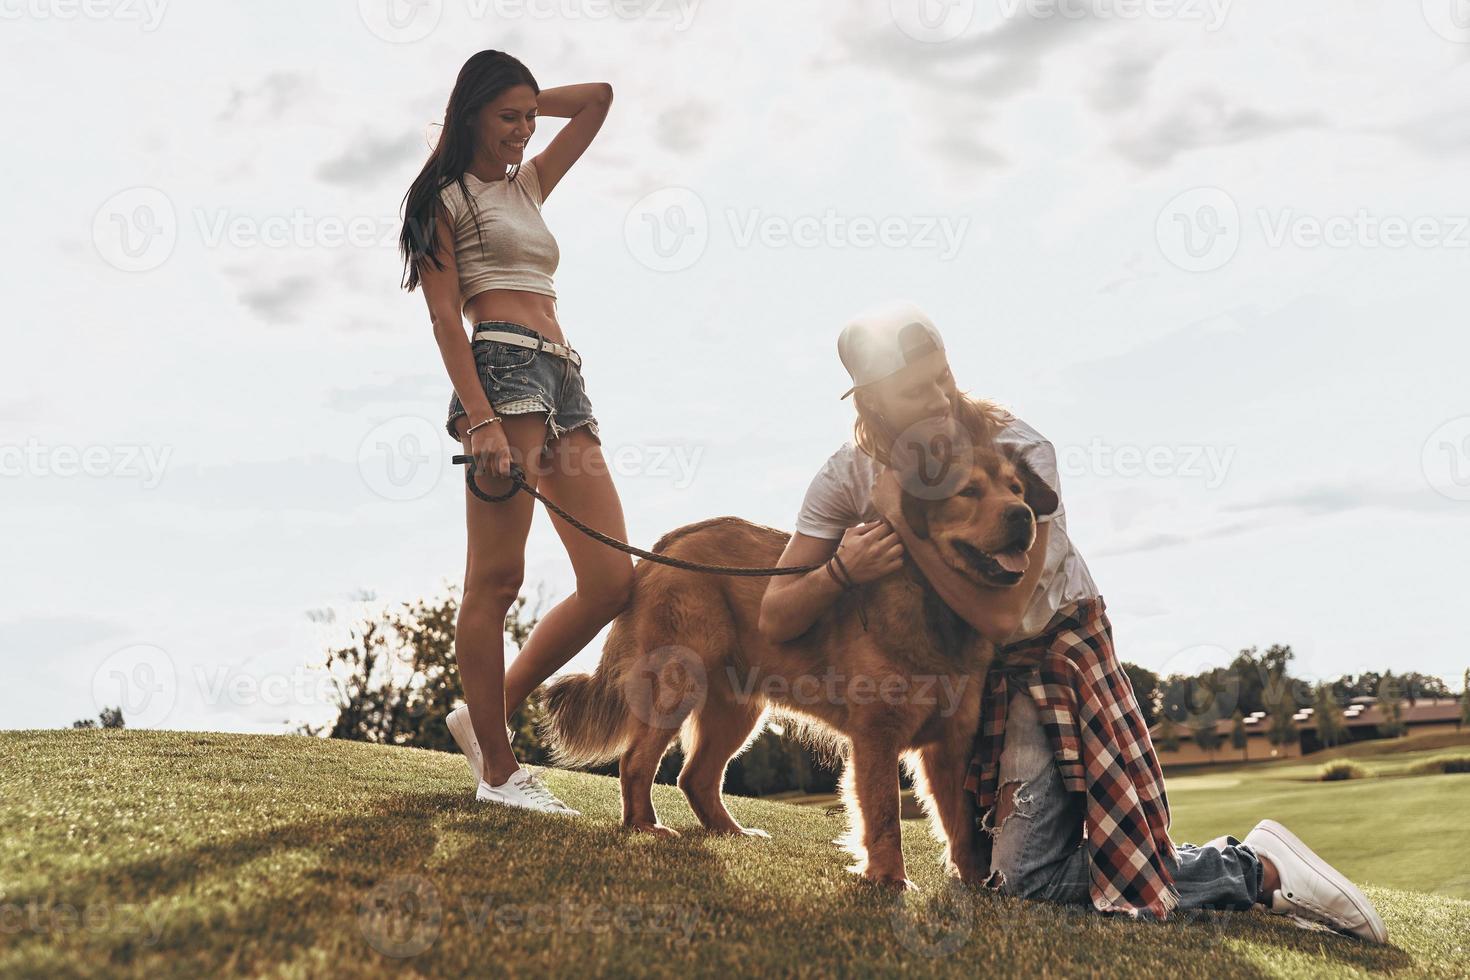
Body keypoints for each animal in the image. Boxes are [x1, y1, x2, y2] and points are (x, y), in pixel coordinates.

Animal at [540, 437, 1058, 887]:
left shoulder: (950, 744)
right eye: (969, 491)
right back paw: (644, 826)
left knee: (695, 777)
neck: (934, 604)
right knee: (636, 761)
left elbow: (962, 822)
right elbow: (885, 814)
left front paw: (971, 885)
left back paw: (731, 832)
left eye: (1016, 489)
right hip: (679, 683)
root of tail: (667, 544)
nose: (1023, 515)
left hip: (739, 710)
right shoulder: (877, 734)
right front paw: (889, 879)